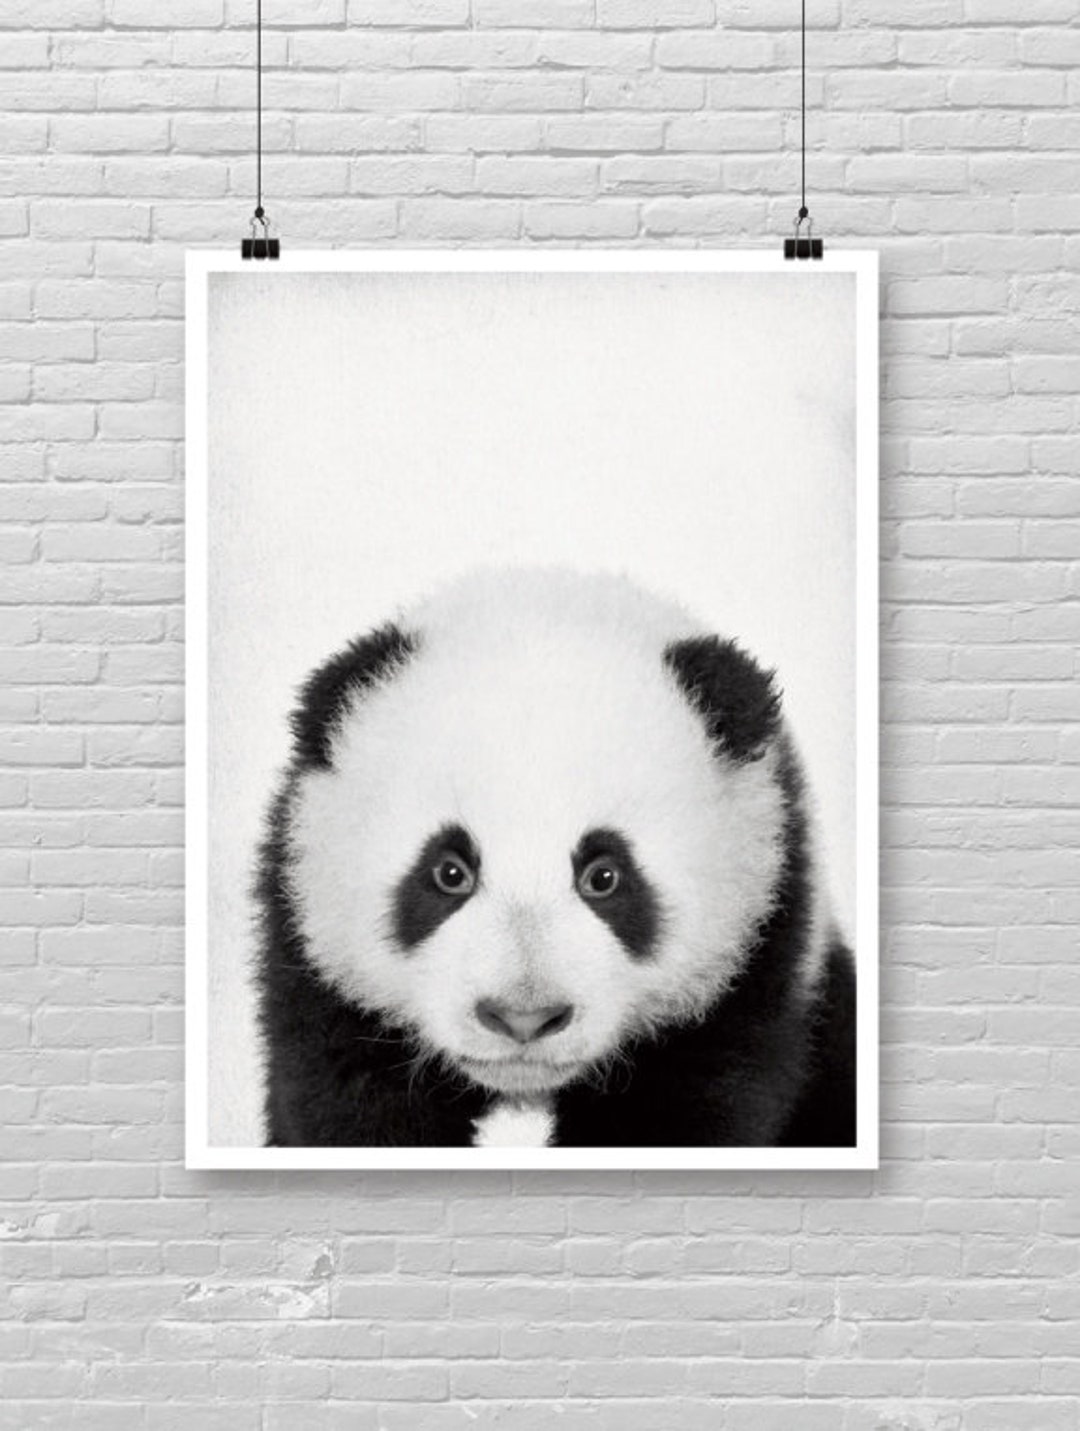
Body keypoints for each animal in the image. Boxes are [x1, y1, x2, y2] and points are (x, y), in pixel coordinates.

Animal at [255, 568, 856, 1149]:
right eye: (449, 872)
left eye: (604, 876)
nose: (523, 1018)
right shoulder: (318, 966)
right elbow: (349, 1099)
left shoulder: (757, 956)